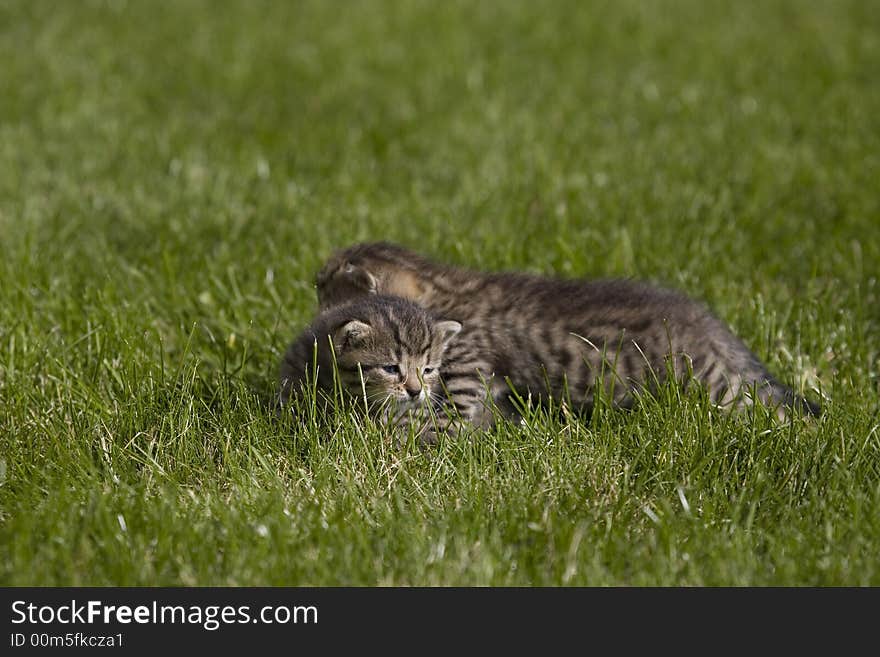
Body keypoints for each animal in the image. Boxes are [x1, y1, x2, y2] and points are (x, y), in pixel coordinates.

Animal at [314, 242, 820, 426]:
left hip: (713, 386)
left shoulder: (465, 372)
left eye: (324, 288)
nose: (315, 319)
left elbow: (447, 419)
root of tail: (710, 324)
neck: (441, 290)